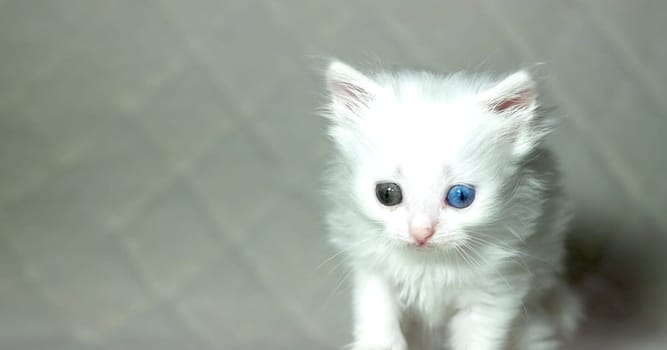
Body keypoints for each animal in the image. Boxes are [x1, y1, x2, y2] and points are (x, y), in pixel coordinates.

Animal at [320, 60, 580, 350]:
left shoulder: (496, 292)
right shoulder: (373, 270)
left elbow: (477, 339)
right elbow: (379, 319)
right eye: (387, 194)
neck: (430, 266)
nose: (421, 233)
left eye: (461, 196)